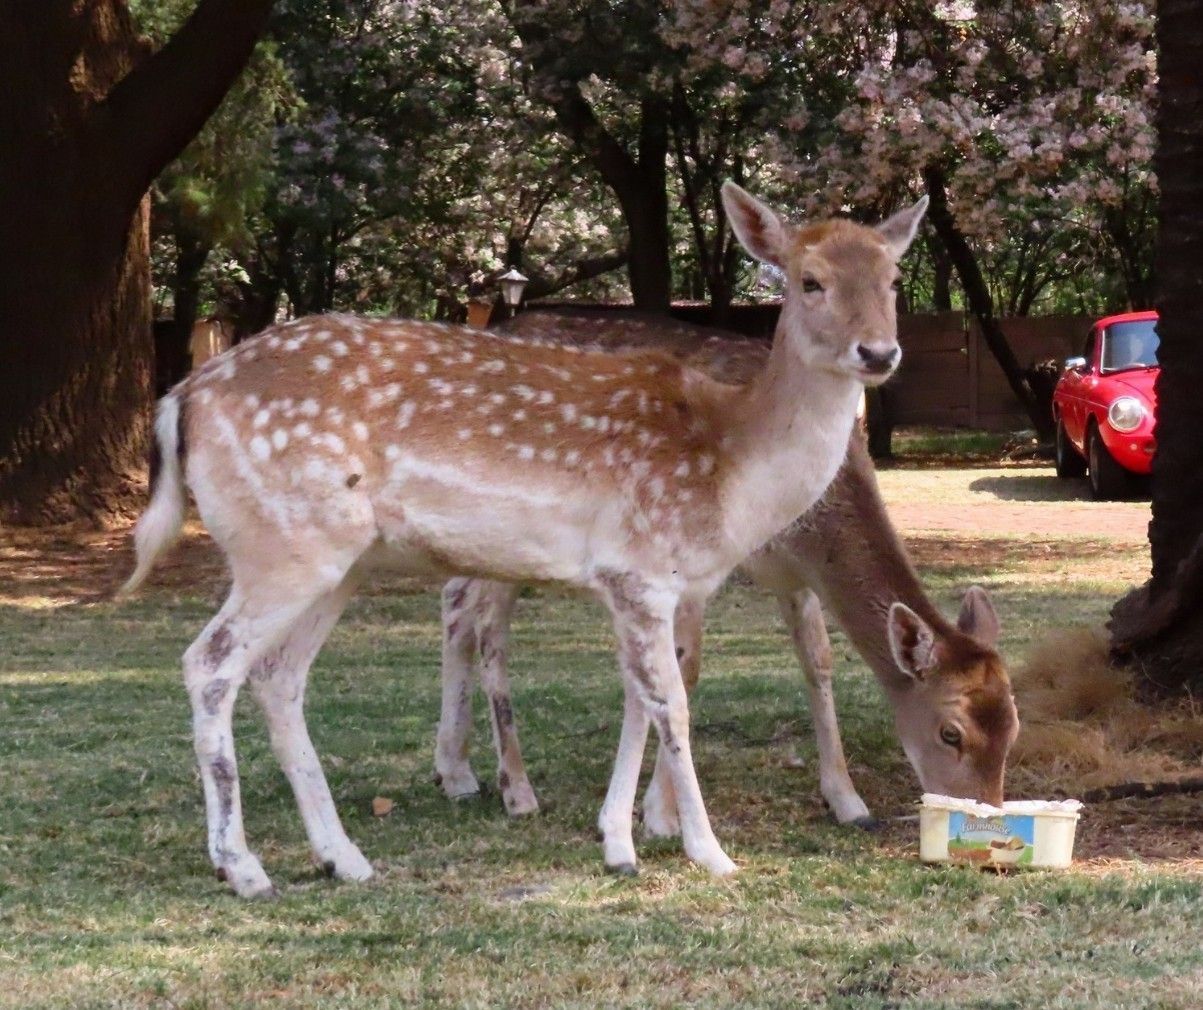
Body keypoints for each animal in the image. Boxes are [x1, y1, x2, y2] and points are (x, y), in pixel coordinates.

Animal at [120, 182, 927, 896]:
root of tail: (180, 398)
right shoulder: (642, 568)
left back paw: (341, 858)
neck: (731, 468)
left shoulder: (636, 583)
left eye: (893, 277)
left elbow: (639, 696)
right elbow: (671, 704)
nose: (879, 353)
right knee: (209, 663)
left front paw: (619, 843)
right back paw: (243, 868)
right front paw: (708, 853)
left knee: (279, 675)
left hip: (335, 564)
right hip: (279, 546)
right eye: (809, 280)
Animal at [435, 325, 1019, 828]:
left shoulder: (795, 574)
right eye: (950, 733)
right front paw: (660, 814)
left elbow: (818, 661)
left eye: (1014, 725)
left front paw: (847, 800)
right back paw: (516, 789)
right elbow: (685, 668)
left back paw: (455, 773)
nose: (983, 813)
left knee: (456, 598)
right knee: (489, 628)